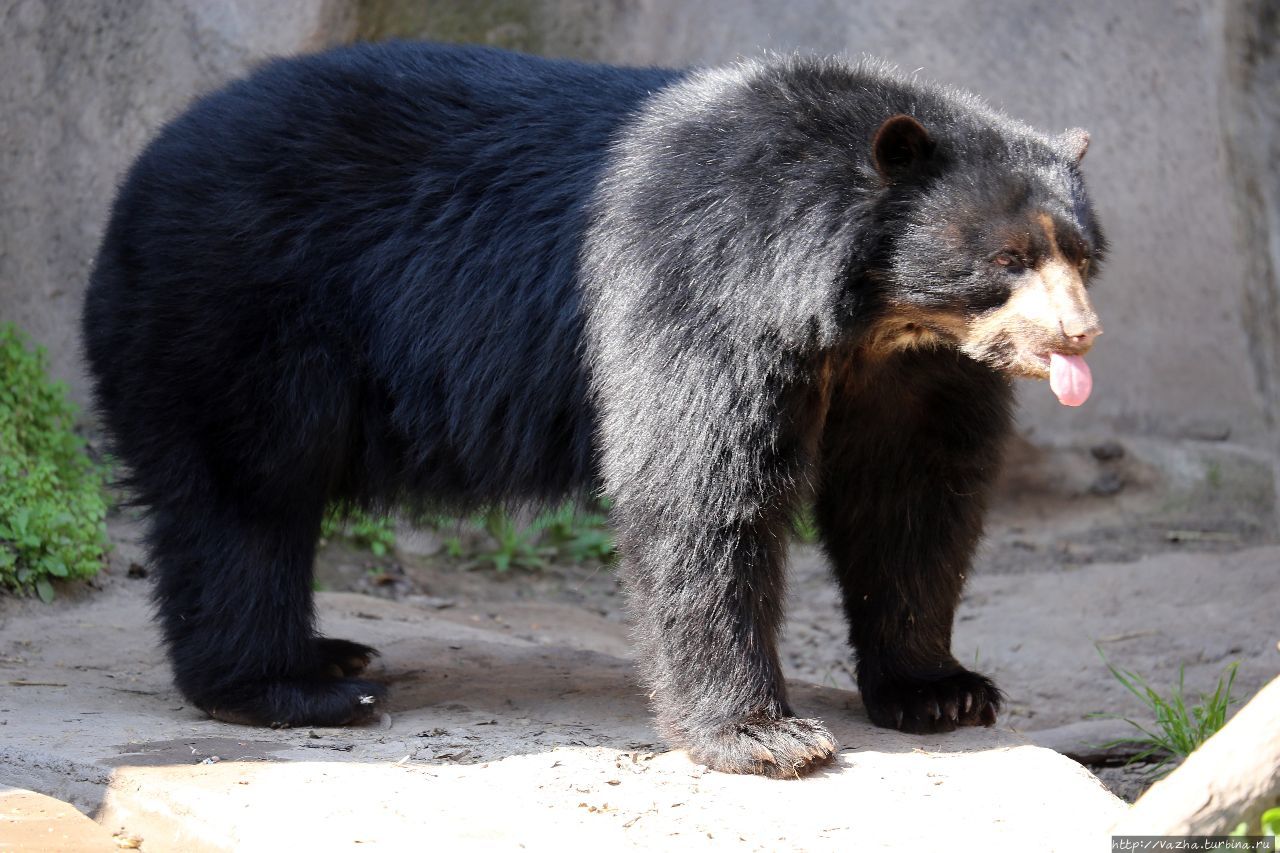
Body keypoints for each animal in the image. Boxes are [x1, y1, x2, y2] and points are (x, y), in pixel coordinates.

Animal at [80, 44, 1100, 778]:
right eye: (1008, 259)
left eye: (1084, 254)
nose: (1079, 335)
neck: (867, 313)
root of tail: (139, 179)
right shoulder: (706, 280)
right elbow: (697, 487)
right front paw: (766, 735)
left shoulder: (914, 370)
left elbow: (912, 494)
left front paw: (942, 691)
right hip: (242, 316)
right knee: (244, 501)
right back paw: (289, 686)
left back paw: (331, 658)